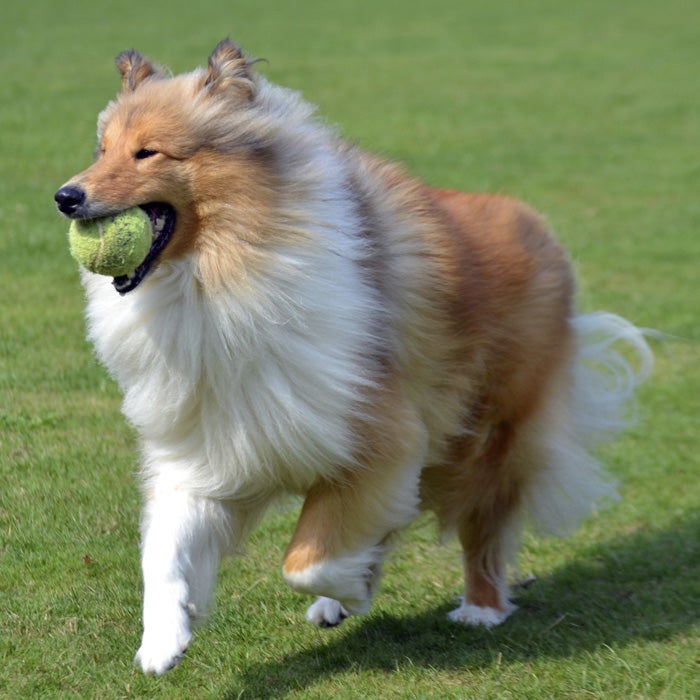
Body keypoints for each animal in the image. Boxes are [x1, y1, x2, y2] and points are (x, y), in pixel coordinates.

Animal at [53, 39, 652, 672]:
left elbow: (304, 561)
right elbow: (164, 550)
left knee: (482, 531)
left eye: (148, 152)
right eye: (102, 149)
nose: (65, 197)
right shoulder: (213, 445)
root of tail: (540, 228)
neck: (219, 278)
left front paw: (350, 589)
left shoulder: (377, 436)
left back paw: (480, 608)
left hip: (488, 440)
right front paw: (164, 640)